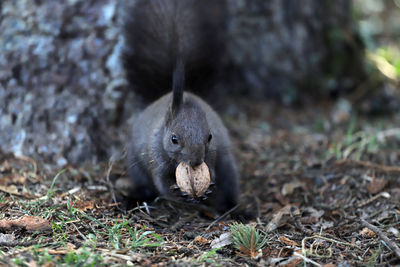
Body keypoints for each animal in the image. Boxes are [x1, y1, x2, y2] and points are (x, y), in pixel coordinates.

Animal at [123, 0, 239, 214]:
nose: (196, 162)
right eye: (173, 139)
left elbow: (212, 170)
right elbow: (161, 183)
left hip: (228, 167)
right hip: (136, 166)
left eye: (210, 137)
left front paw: (208, 187)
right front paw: (178, 193)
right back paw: (135, 199)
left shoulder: (212, 153)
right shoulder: (155, 157)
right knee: (145, 186)